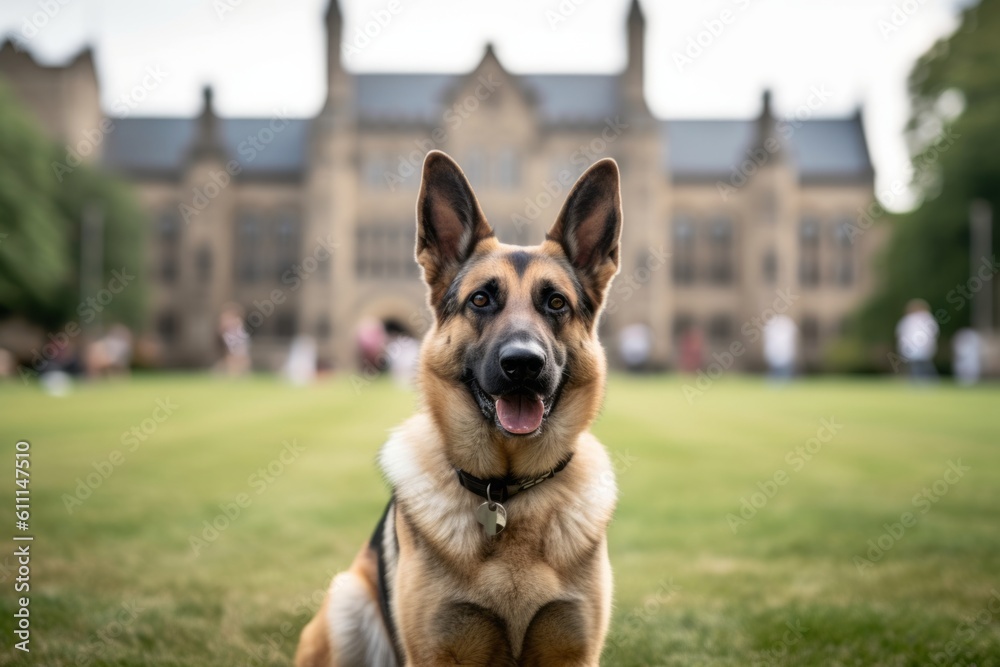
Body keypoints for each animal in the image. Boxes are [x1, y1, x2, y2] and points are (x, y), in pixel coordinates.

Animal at [296, 153, 620, 667]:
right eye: (481, 299)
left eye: (556, 303)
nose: (523, 364)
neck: (508, 492)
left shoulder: (573, 652)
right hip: (348, 601)